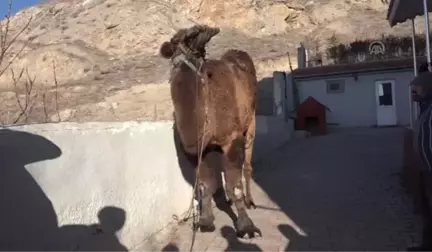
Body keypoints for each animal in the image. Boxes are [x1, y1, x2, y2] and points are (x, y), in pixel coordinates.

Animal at [159, 24, 260, 237]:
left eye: (199, 53)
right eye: (175, 46)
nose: (206, 30)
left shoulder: (231, 139)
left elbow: (234, 186)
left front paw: (247, 227)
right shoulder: (200, 148)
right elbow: (206, 185)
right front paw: (205, 222)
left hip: (251, 121)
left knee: (247, 163)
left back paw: (250, 201)